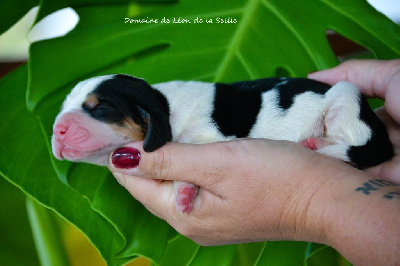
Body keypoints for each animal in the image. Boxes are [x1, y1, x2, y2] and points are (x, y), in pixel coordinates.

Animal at [52, 74, 394, 213]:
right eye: (63, 106)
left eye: (101, 108)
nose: (57, 129)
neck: (165, 105)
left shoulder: (212, 135)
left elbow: (194, 143)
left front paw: (184, 190)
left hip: (345, 97)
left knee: (361, 147)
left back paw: (318, 145)